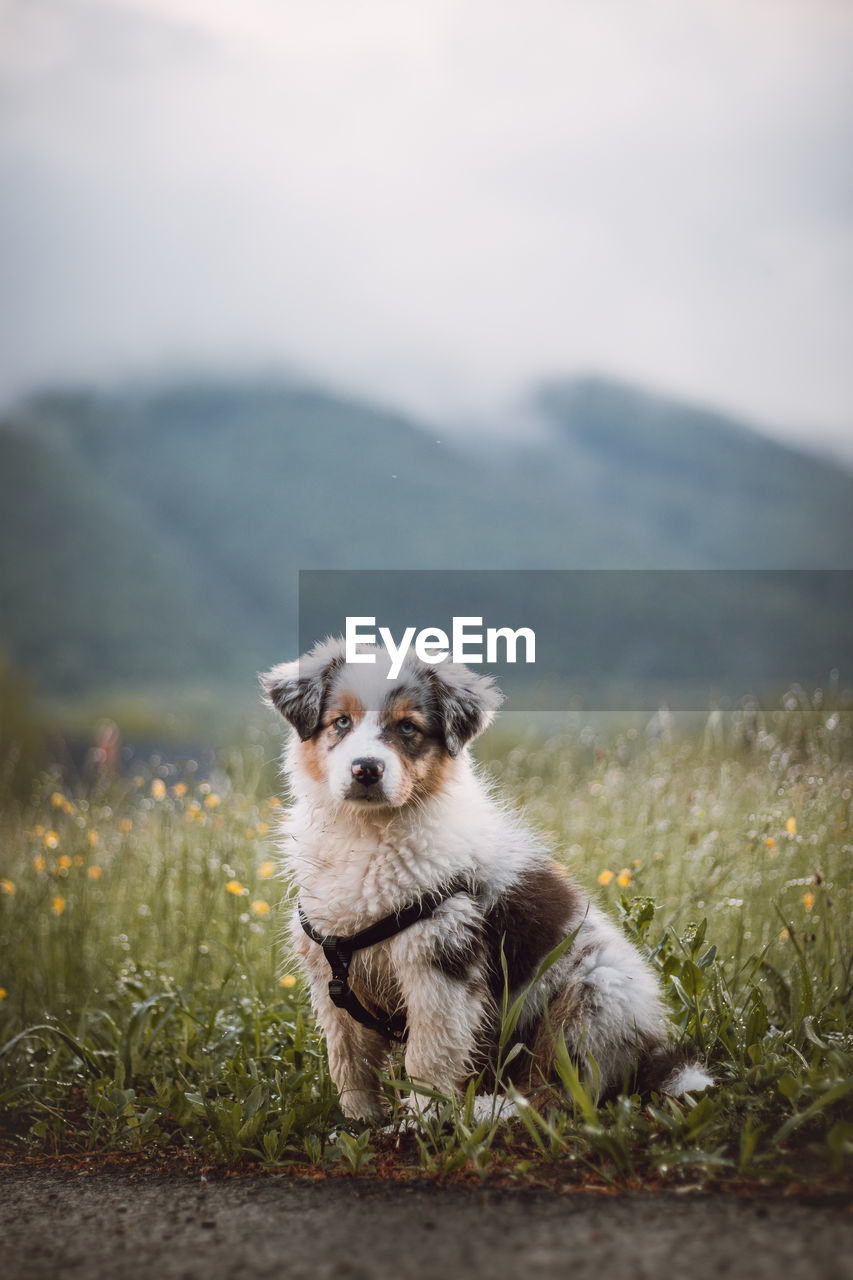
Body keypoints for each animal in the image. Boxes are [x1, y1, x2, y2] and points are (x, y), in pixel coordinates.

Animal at [261, 640, 712, 1121]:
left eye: (407, 727)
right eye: (341, 722)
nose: (366, 769)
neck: (368, 833)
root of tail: (649, 1053)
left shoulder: (442, 953)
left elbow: (429, 1054)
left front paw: (421, 1119)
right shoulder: (331, 971)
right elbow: (348, 1057)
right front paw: (360, 1119)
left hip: (594, 996)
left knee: (561, 1092)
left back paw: (489, 1109)